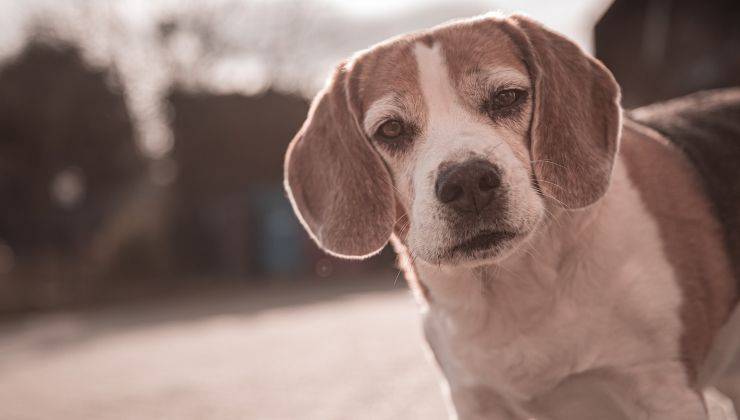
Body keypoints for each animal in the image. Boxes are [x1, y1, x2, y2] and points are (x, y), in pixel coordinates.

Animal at [282, 13, 740, 420]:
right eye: (391, 129)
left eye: (506, 97)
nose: (467, 182)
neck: (512, 288)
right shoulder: (475, 402)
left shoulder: (664, 390)